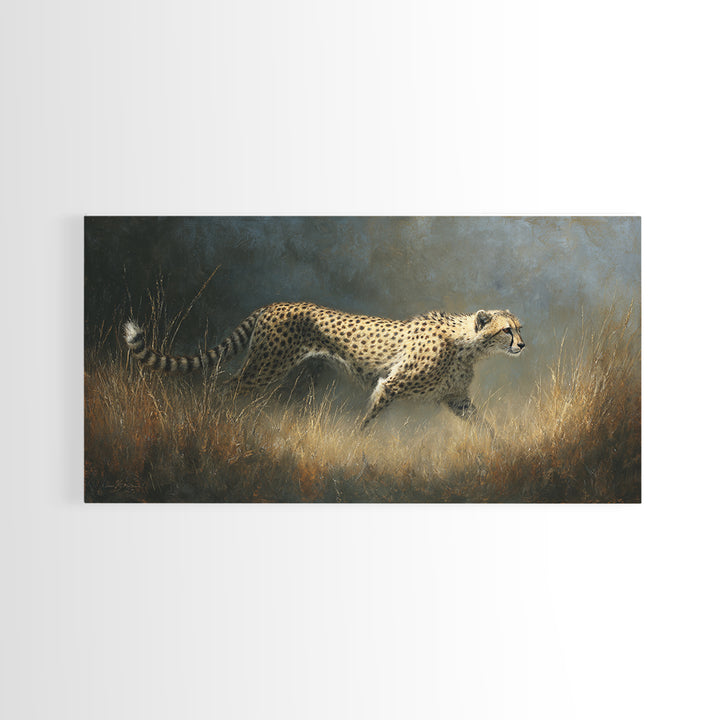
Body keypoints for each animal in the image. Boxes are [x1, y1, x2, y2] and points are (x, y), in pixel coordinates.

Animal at [124, 302, 525, 428]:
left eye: (520, 327)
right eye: (507, 330)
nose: (523, 345)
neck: (467, 345)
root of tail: (274, 304)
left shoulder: (456, 399)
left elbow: (485, 427)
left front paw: (495, 447)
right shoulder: (390, 385)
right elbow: (367, 421)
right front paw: (356, 445)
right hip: (266, 366)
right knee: (226, 386)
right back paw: (217, 420)